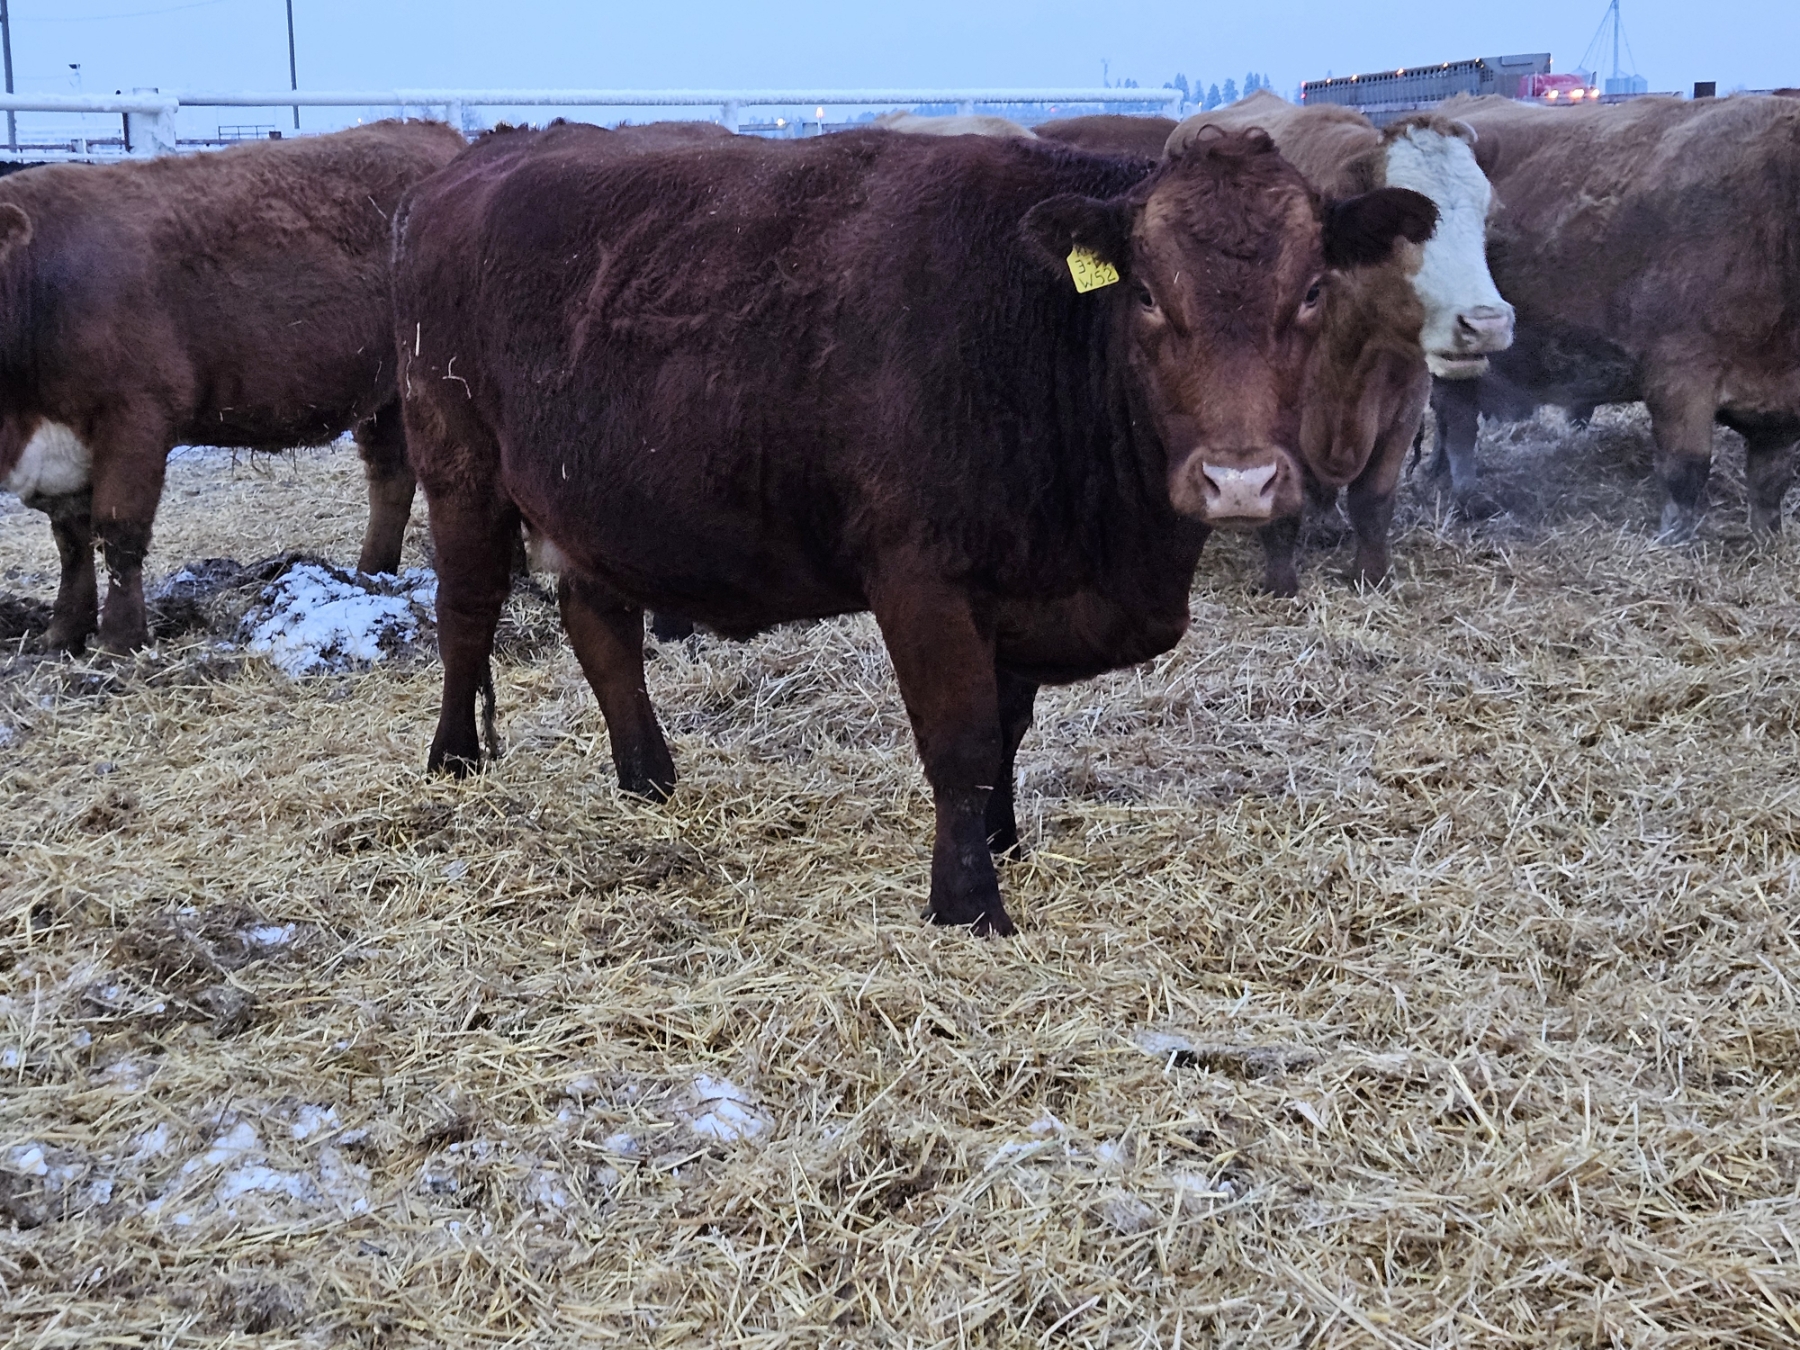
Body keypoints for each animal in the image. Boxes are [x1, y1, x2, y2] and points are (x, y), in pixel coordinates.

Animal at [0, 120, 464, 653]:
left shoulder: (135, 415)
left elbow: (118, 531)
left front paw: (119, 640)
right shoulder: (58, 449)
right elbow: (71, 541)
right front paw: (63, 633)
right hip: (387, 393)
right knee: (390, 477)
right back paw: (370, 575)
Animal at [393, 121, 1433, 935]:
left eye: (1311, 290)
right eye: (1145, 294)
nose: (1239, 480)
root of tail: (480, 159)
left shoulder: (1020, 582)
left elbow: (1008, 728)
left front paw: (1003, 841)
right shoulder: (923, 580)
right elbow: (961, 740)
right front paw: (967, 901)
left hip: (594, 505)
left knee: (601, 627)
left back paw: (649, 778)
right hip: (458, 463)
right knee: (466, 612)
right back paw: (454, 760)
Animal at [1168, 91, 1514, 590]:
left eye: (1486, 217)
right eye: (1400, 227)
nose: (1486, 323)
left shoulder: (1404, 411)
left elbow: (1373, 499)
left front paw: (1371, 574)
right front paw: (1281, 585)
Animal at [1425, 94, 1800, 538]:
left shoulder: (1782, 406)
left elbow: (1771, 481)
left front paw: (1767, 536)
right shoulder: (1679, 374)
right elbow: (1685, 470)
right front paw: (1672, 539)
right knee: (1458, 421)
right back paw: (1465, 495)